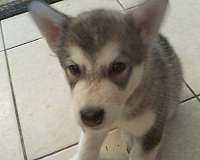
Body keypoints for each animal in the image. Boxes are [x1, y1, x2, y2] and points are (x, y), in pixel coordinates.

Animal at [28, 0, 183, 159]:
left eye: (118, 67)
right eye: (73, 68)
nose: (90, 116)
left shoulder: (150, 132)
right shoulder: (91, 131)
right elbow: (86, 149)